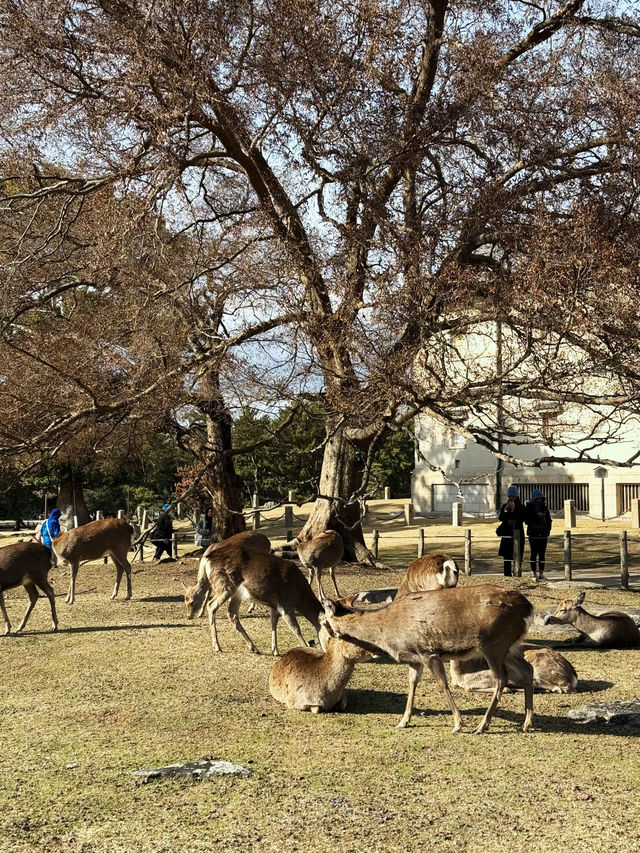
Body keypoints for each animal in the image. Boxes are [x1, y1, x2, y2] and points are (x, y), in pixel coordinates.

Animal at [185, 544, 324, 656]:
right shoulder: (285, 604)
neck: (299, 596)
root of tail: (206, 559)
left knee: (231, 613)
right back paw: (217, 647)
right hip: (225, 586)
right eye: (329, 629)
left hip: (235, 594)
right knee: (211, 605)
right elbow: (296, 628)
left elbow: (273, 623)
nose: (325, 650)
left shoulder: (274, 605)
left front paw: (275, 650)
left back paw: (254, 648)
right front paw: (306, 648)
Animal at [320, 584, 536, 736]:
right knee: (527, 669)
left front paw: (458, 724)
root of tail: (529, 608)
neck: (387, 629)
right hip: (511, 646)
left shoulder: (427, 652)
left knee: (502, 678)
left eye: (323, 620)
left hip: (494, 643)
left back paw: (482, 726)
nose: (324, 641)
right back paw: (527, 723)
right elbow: (412, 684)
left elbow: (442, 685)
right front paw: (403, 721)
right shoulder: (414, 658)